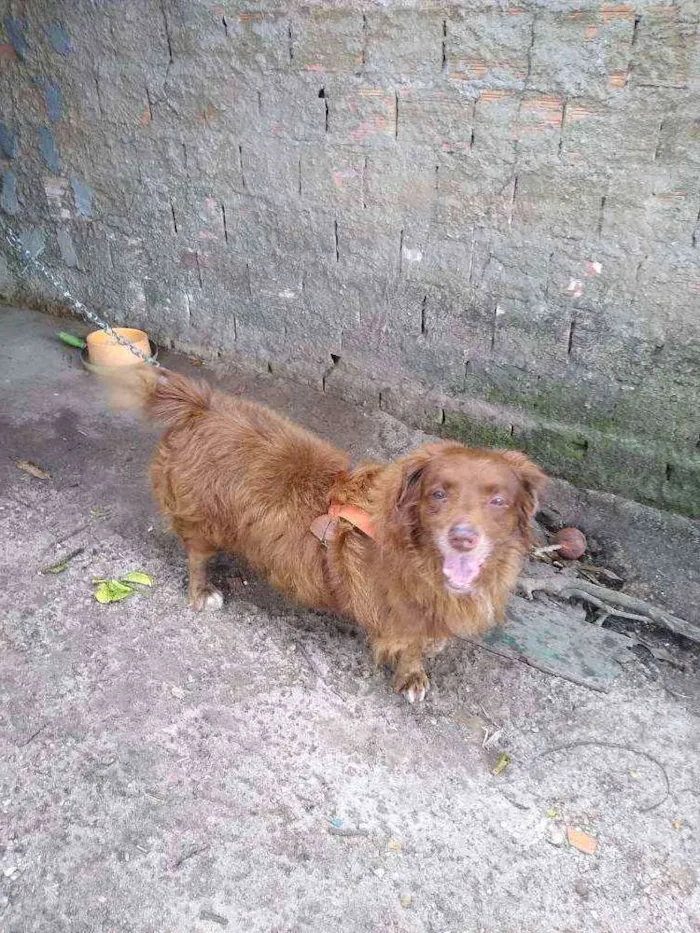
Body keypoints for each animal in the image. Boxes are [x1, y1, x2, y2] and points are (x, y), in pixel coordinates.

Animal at [110, 368, 548, 704]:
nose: (463, 538)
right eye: (438, 494)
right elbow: (409, 647)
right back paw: (203, 591)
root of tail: (200, 406)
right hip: (202, 520)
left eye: (498, 500)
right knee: (197, 556)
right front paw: (411, 675)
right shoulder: (398, 618)